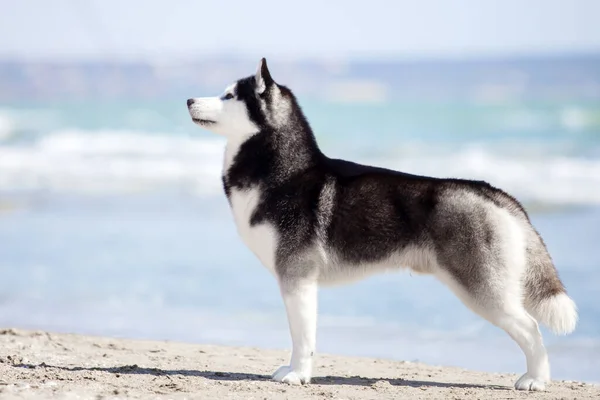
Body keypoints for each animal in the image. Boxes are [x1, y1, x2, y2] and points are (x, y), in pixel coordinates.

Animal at [186, 58, 576, 390]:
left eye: (229, 96)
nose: (189, 99)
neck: (282, 172)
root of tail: (493, 192)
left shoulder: (297, 277)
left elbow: (302, 336)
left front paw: (298, 374)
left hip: (482, 288)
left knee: (531, 328)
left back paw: (536, 379)